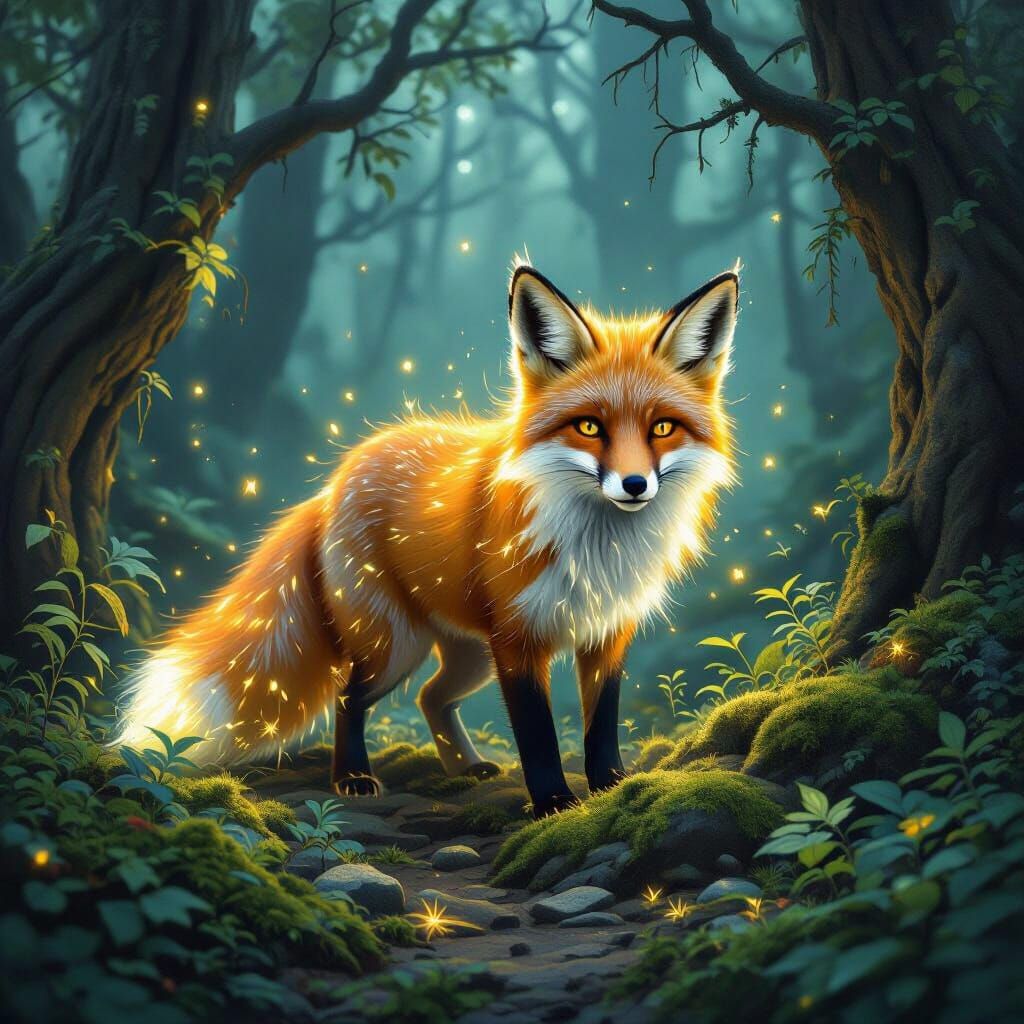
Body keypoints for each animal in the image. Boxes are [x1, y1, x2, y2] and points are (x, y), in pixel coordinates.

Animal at [117, 261, 739, 817]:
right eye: (589, 427)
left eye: (662, 428)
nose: (635, 485)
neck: (597, 549)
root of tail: (334, 483)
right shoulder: (518, 641)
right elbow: (537, 733)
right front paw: (553, 802)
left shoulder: (608, 631)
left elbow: (601, 725)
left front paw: (612, 786)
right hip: (397, 644)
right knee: (349, 694)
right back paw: (352, 778)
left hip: (467, 655)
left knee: (430, 697)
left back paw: (462, 766)